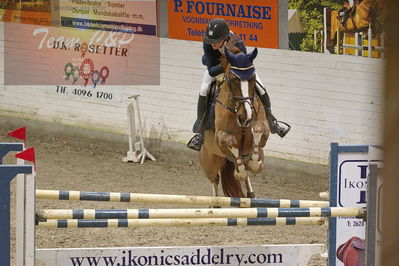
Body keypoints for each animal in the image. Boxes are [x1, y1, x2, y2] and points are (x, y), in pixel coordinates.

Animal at [199, 47, 270, 198]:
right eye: (233, 79)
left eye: (252, 78)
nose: (246, 117)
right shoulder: (220, 136)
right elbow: (231, 141)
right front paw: (240, 172)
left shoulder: (263, 128)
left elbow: (258, 129)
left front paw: (255, 162)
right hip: (210, 163)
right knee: (215, 180)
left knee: (245, 174)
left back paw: (250, 192)